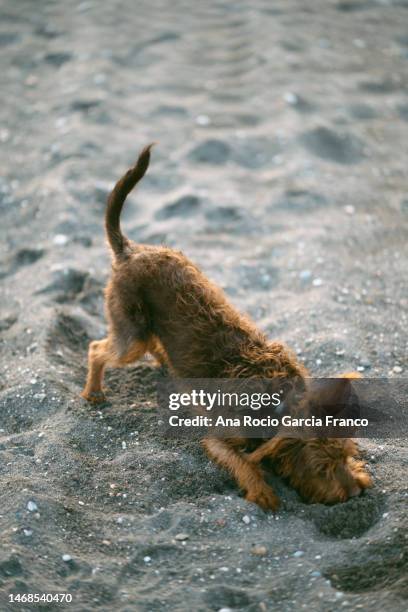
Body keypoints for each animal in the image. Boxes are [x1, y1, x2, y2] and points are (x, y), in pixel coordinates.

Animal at [81, 146, 372, 510]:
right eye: (322, 469)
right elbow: (244, 463)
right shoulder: (220, 437)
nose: (357, 492)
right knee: (98, 350)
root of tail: (129, 249)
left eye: (346, 453)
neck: (278, 402)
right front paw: (262, 491)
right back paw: (93, 391)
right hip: (131, 336)